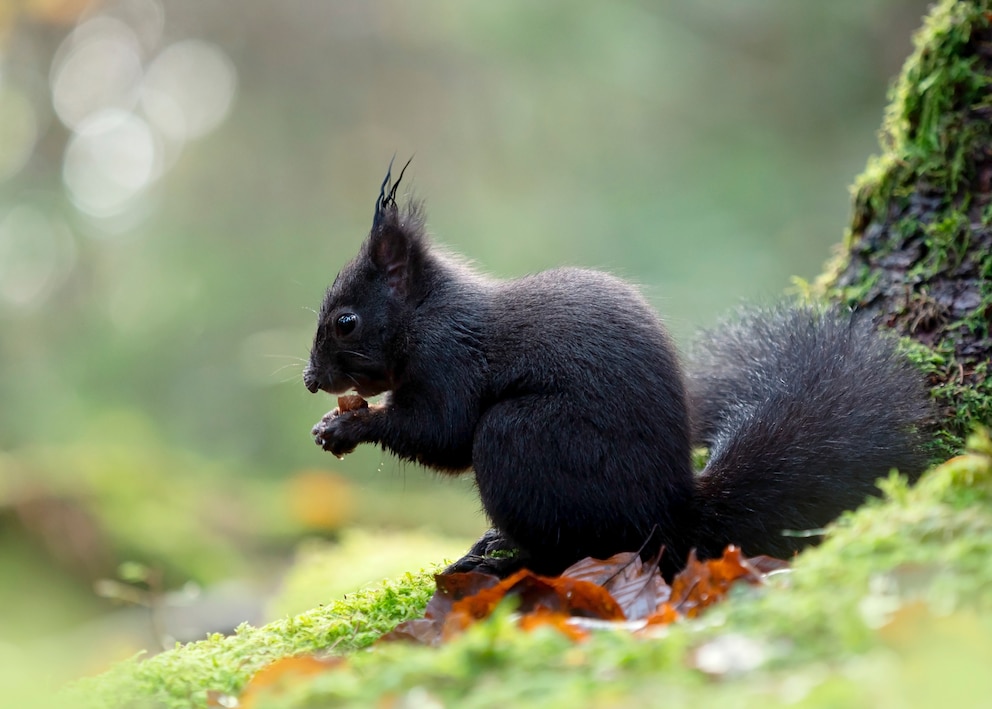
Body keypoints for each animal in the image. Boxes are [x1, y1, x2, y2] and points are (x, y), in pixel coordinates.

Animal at [306, 162, 932, 580]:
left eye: (346, 321)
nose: (312, 380)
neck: (426, 316)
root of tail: (668, 518)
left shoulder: (451, 362)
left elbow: (443, 433)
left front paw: (349, 426)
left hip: (522, 439)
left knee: (567, 545)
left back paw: (502, 558)